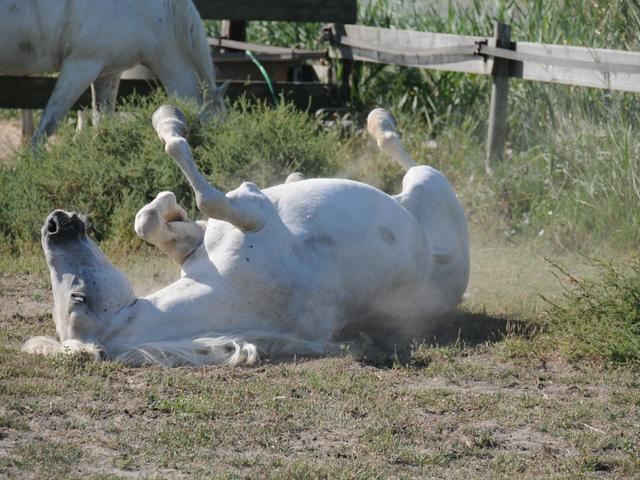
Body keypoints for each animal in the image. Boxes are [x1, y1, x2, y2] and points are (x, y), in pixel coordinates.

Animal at [22, 107, 470, 366]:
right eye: (78, 298)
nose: (54, 225)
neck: (221, 286)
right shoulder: (252, 209)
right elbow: (203, 191)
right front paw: (169, 122)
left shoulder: (207, 240)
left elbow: (150, 219)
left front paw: (170, 202)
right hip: (428, 182)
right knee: (404, 156)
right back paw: (379, 122)